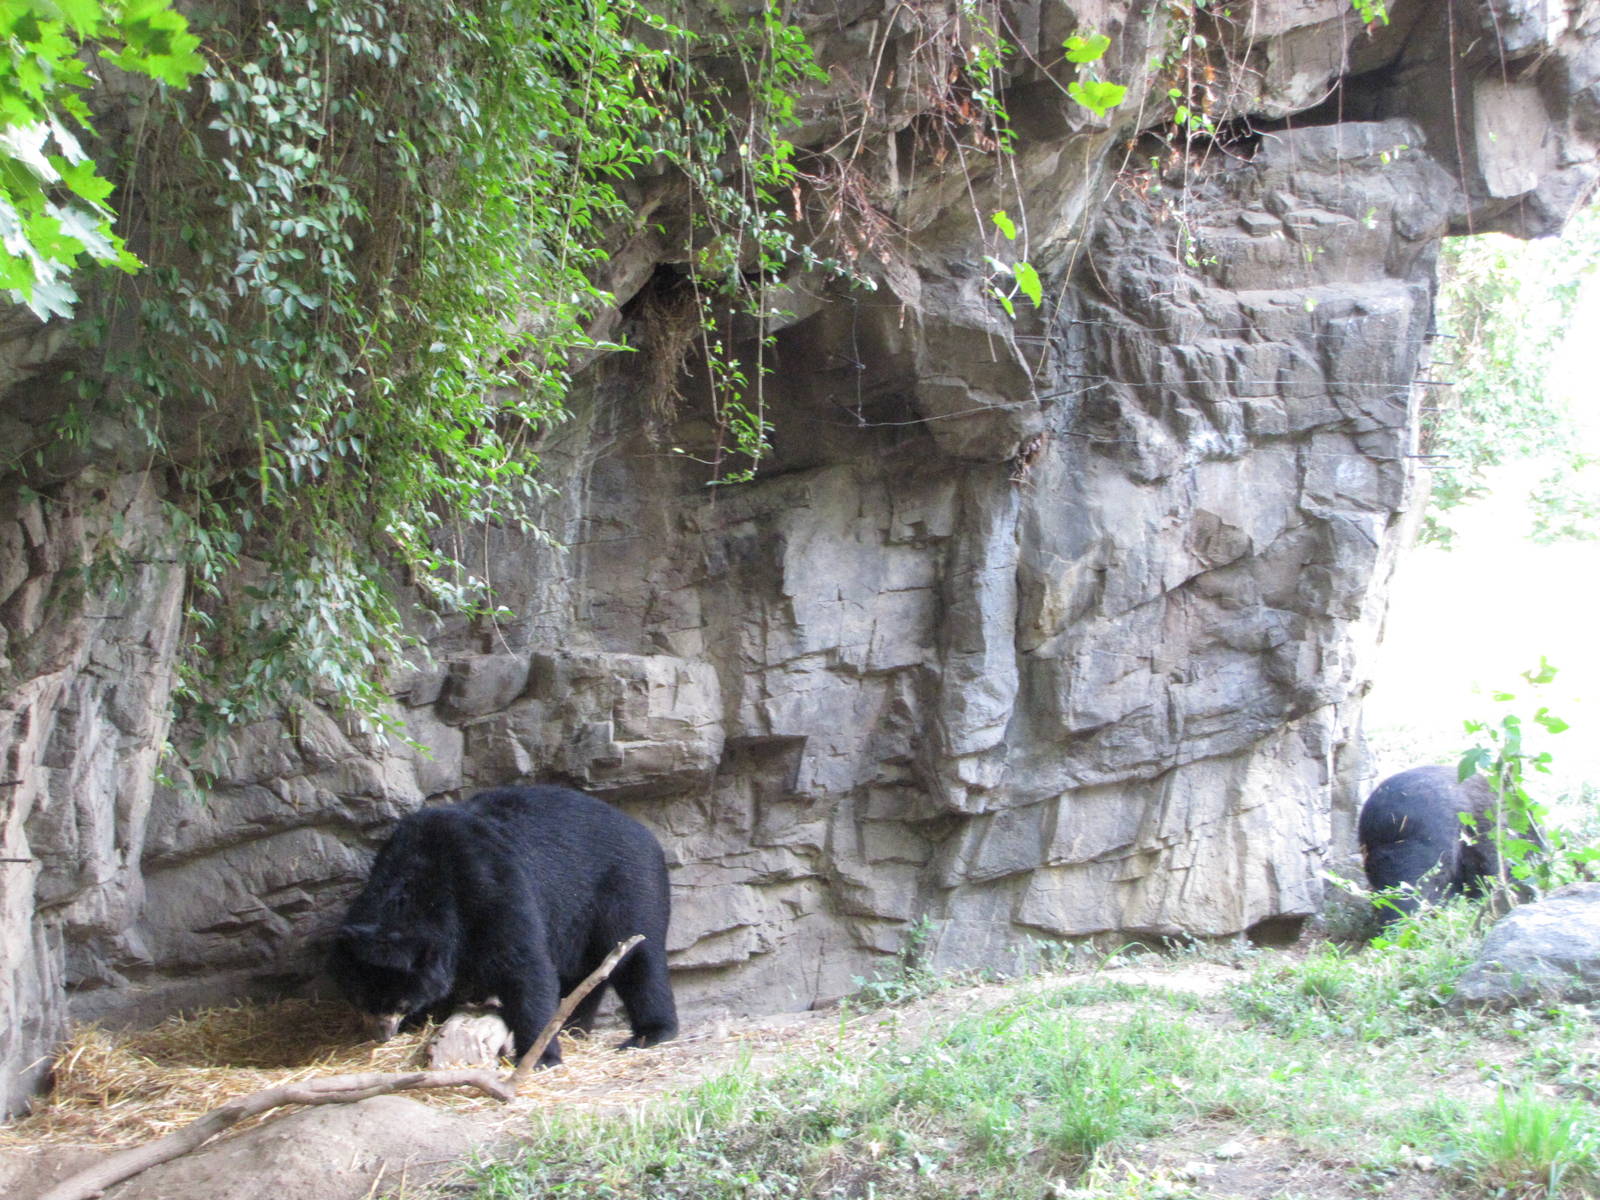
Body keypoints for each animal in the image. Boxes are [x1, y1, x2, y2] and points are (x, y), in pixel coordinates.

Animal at [327, 784, 678, 1066]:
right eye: (359, 998)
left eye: (401, 1002)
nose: (381, 1034)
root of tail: (647, 835)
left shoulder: (491, 886)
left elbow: (525, 967)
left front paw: (540, 1057)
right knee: (585, 971)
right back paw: (572, 1024)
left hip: (628, 887)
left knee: (639, 961)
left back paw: (651, 1032)